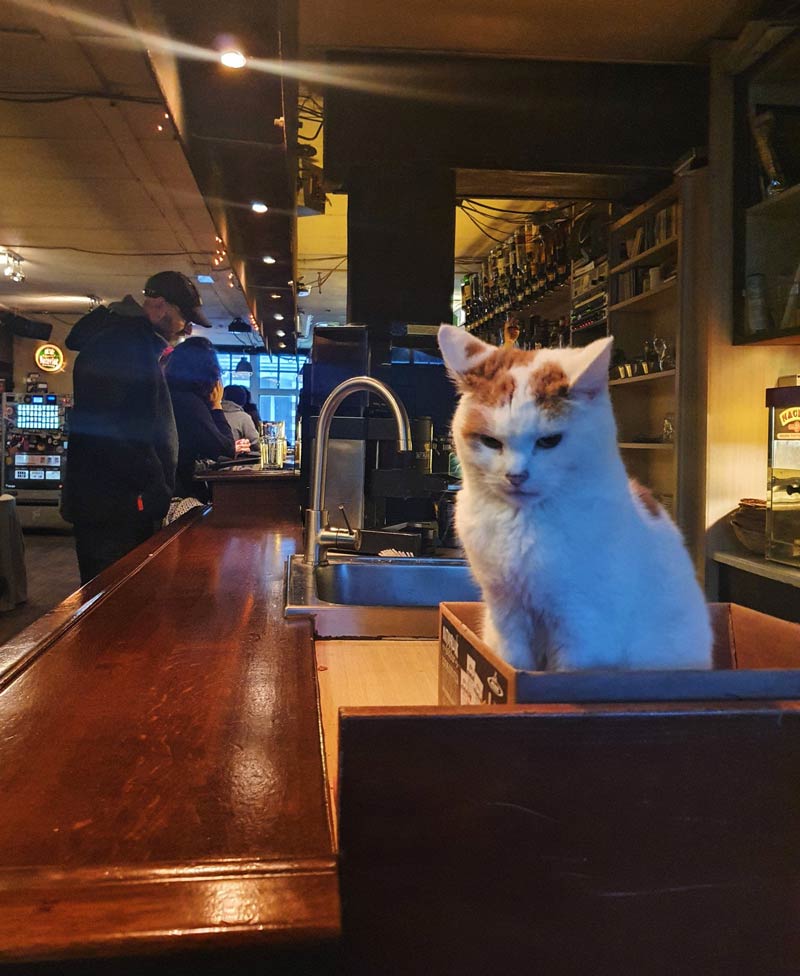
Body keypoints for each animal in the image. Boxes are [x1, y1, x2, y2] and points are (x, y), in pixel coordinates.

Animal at [438, 326, 712, 672]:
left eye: (549, 441)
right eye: (490, 441)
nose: (516, 476)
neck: (522, 523)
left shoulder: (583, 627)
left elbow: (569, 667)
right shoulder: (507, 613)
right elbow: (513, 662)